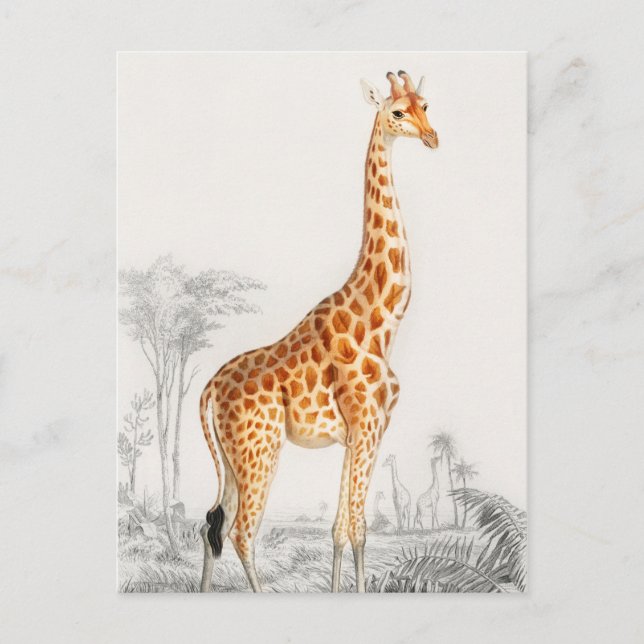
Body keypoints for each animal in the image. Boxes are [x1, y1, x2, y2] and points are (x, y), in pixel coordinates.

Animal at [199, 70, 438, 593]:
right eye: (397, 112)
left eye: (426, 105)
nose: (433, 137)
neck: (382, 322)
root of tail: (206, 391)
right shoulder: (367, 425)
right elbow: (360, 528)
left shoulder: (361, 433)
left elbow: (340, 529)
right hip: (259, 450)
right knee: (241, 532)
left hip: (231, 458)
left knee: (210, 525)